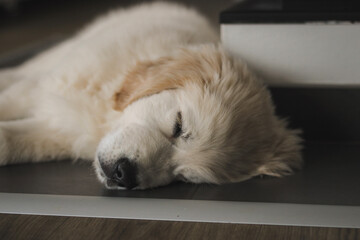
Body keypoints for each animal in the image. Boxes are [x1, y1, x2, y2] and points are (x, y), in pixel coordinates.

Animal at [0, 1, 300, 189]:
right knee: (23, 70)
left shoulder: (61, 133)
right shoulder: (44, 87)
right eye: (178, 125)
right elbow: (11, 98)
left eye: (184, 177)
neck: (106, 116)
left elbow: (14, 142)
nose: (124, 174)